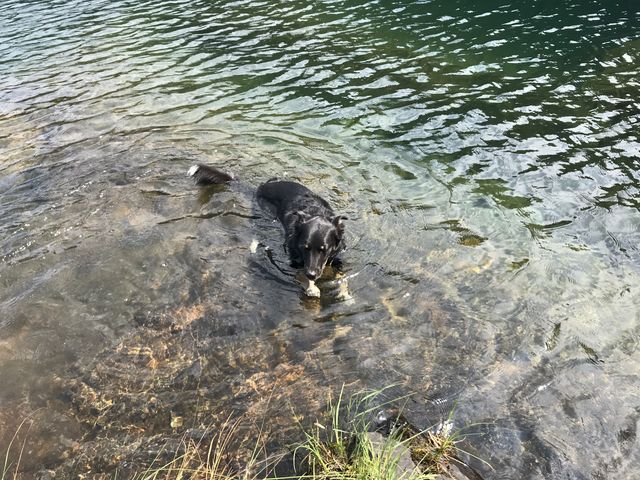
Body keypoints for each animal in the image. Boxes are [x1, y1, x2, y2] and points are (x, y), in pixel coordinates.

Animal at [188, 163, 348, 294]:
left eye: (324, 249)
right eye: (305, 247)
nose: (311, 274)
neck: (315, 212)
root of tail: (260, 187)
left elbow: (342, 274)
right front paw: (311, 287)